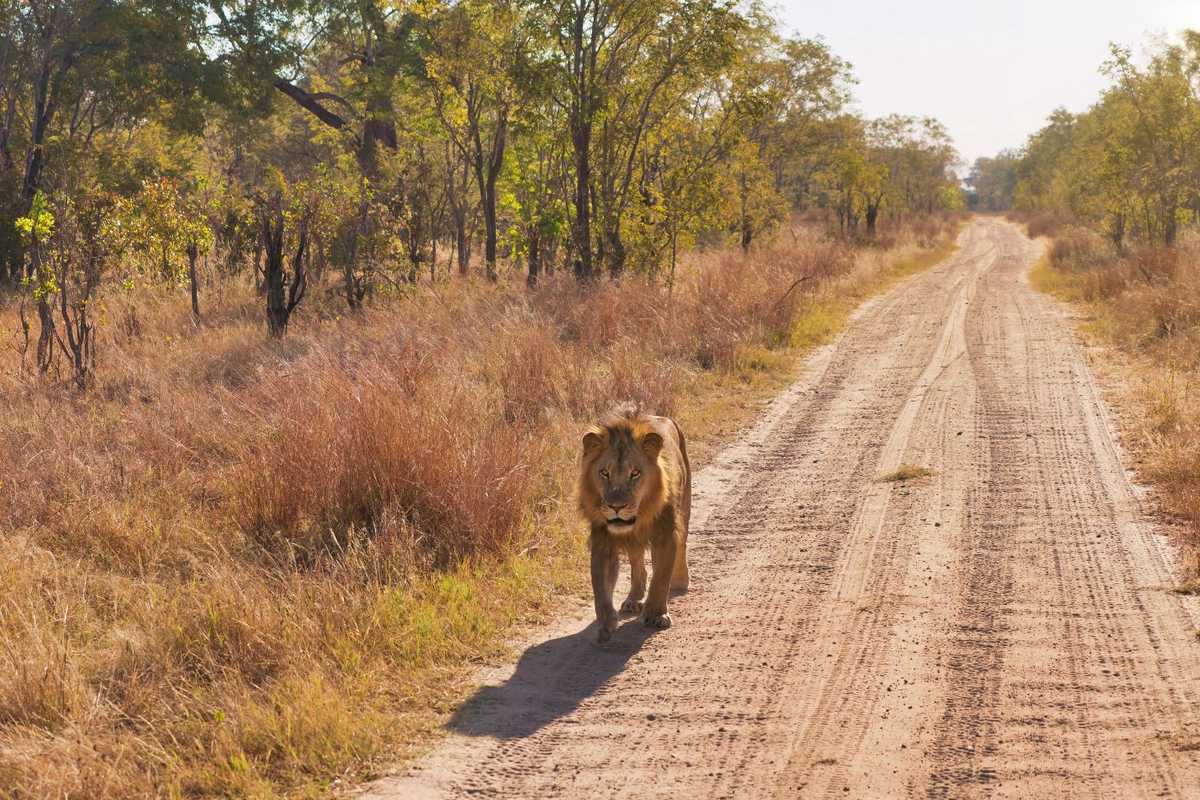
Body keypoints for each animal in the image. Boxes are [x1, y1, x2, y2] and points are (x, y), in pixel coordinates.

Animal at [578, 403, 691, 643]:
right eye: (604, 472)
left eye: (635, 473)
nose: (616, 507)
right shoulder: (603, 540)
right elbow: (600, 587)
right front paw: (605, 623)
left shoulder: (665, 534)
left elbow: (661, 576)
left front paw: (656, 615)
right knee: (637, 561)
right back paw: (633, 599)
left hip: (685, 507)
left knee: (682, 546)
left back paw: (680, 581)